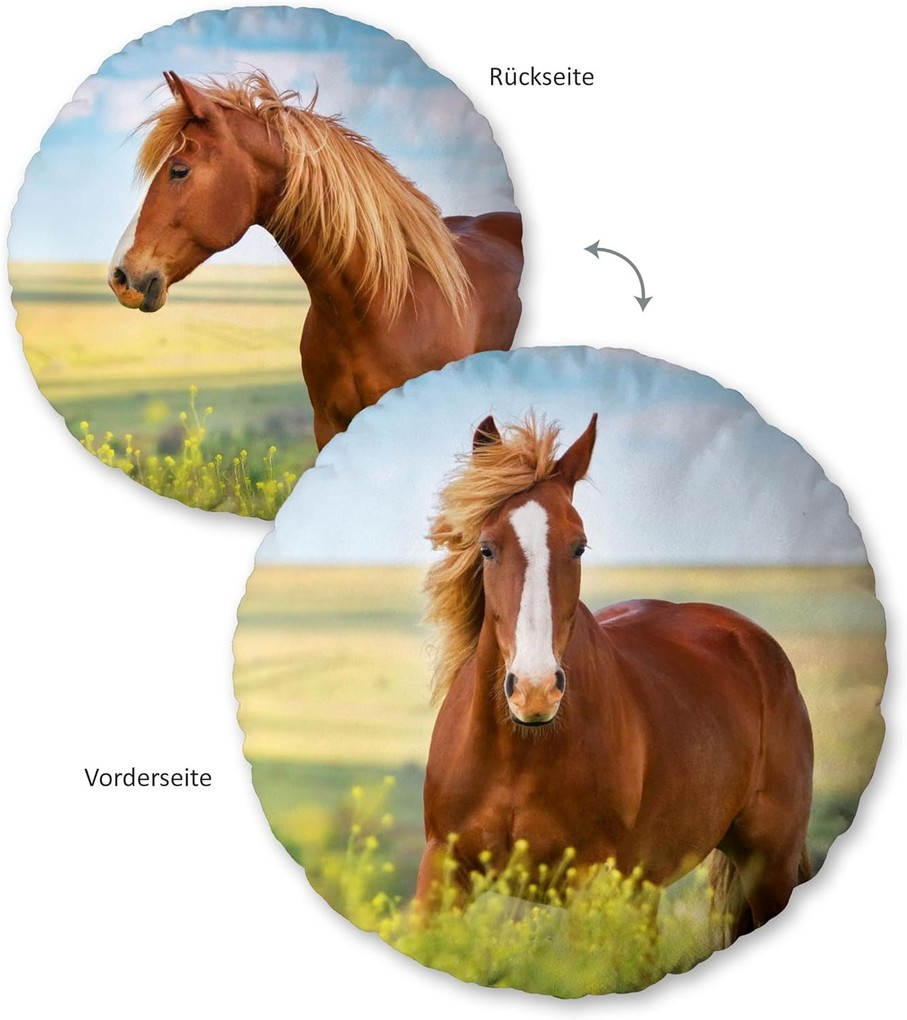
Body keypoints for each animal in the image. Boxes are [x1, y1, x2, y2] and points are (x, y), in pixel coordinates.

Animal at [418, 414, 813, 945]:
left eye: (578, 547)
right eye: (486, 548)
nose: (535, 691)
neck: (518, 753)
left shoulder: (590, 884)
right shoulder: (441, 869)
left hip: (769, 866)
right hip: (647, 888)